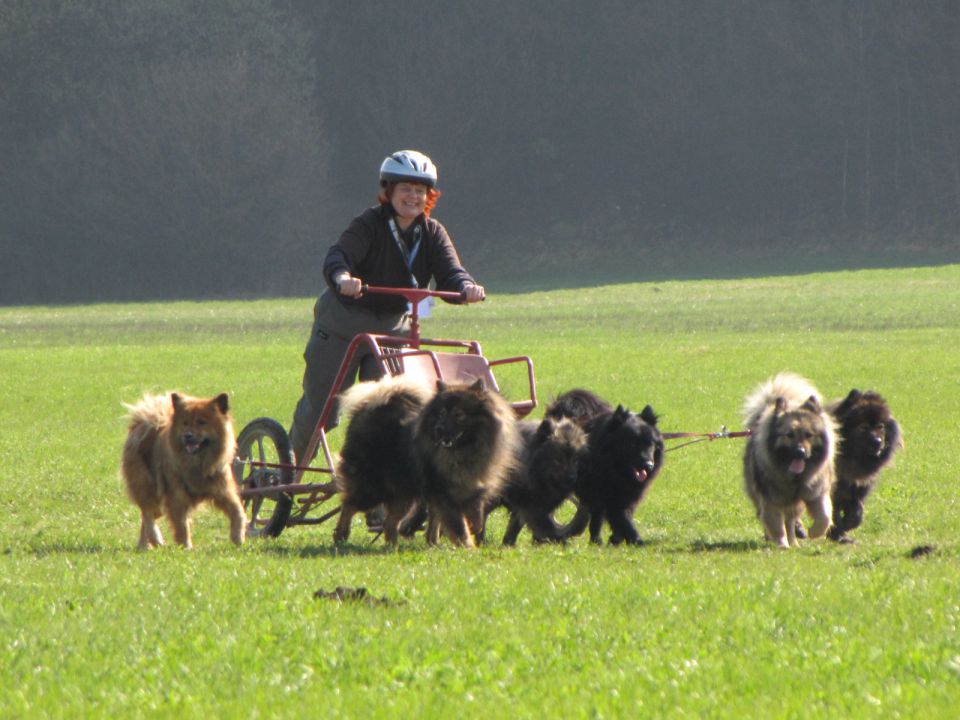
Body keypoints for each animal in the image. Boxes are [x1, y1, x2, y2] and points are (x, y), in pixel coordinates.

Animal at [120, 390, 246, 548]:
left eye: (201, 422)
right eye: (185, 423)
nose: (188, 436)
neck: (198, 464)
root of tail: (141, 425)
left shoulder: (223, 491)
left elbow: (238, 512)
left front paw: (238, 537)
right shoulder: (177, 497)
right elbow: (181, 525)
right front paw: (185, 547)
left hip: (159, 502)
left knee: (147, 516)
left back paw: (145, 544)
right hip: (147, 487)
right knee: (147, 513)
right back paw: (153, 540)